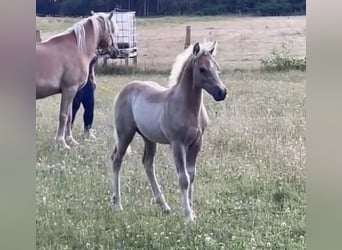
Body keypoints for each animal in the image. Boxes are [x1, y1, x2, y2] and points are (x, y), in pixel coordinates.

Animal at [36, 10, 119, 148]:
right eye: (112, 31)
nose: (116, 51)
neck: (77, 49)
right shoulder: (69, 90)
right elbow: (64, 115)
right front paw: (62, 142)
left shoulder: (73, 92)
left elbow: (70, 116)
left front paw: (70, 140)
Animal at [111, 41, 226, 223]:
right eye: (202, 69)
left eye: (216, 66)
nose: (222, 92)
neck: (187, 107)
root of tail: (125, 89)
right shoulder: (178, 144)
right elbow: (184, 178)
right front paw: (188, 216)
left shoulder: (196, 144)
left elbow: (192, 175)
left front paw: (192, 211)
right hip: (125, 134)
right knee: (117, 160)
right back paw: (117, 204)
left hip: (149, 138)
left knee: (148, 164)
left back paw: (164, 206)